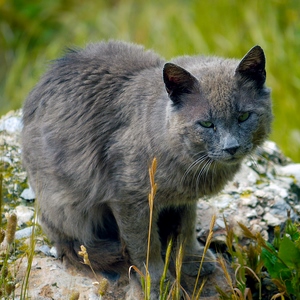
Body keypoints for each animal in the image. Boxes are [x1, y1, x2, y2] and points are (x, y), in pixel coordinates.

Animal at [22, 41, 274, 298]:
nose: (231, 147)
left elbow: (185, 228)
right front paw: (158, 285)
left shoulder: (184, 198)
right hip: (66, 204)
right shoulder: (131, 200)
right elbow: (146, 247)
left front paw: (193, 260)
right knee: (73, 244)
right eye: (206, 124)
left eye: (244, 116)